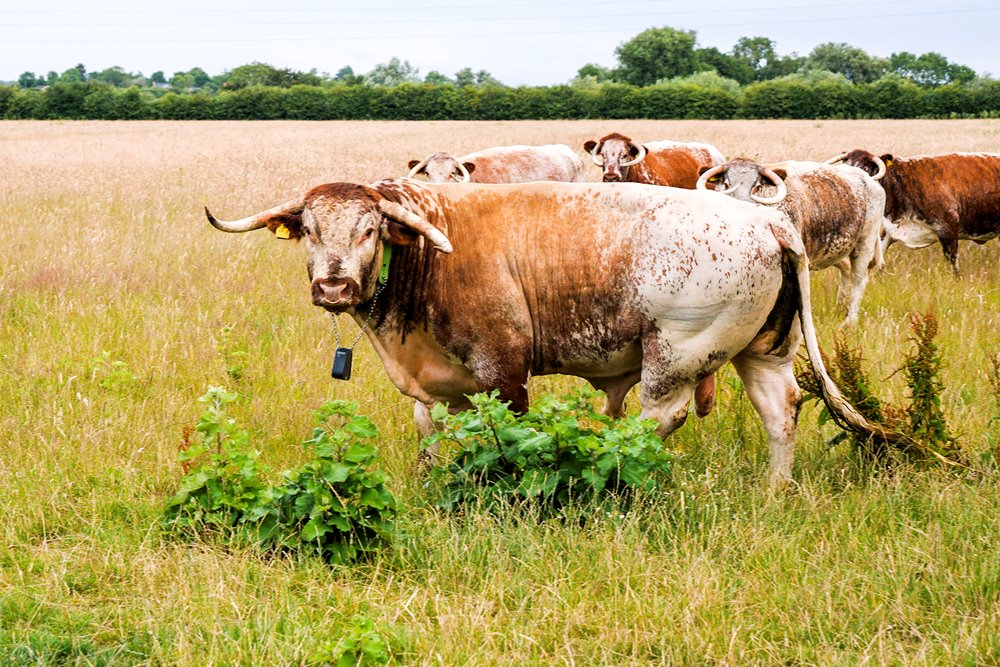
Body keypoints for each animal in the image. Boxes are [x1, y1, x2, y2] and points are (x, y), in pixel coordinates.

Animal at [207, 180, 896, 488]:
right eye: (311, 230)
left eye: (370, 230)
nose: (333, 287)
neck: (428, 257)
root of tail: (768, 222)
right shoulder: (437, 387)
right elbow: (432, 437)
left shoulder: (504, 373)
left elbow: (506, 436)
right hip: (763, 352)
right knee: (782, 411)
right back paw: (776, 492)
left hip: (676, 354)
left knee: (658, 418)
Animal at [696, 157, 884, 324]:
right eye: (726, 184)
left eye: (757, 186)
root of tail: (870, 180)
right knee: (845, 268)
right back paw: (840, 306)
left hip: (865, 243)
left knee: (858, 280)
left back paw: (849, 321)